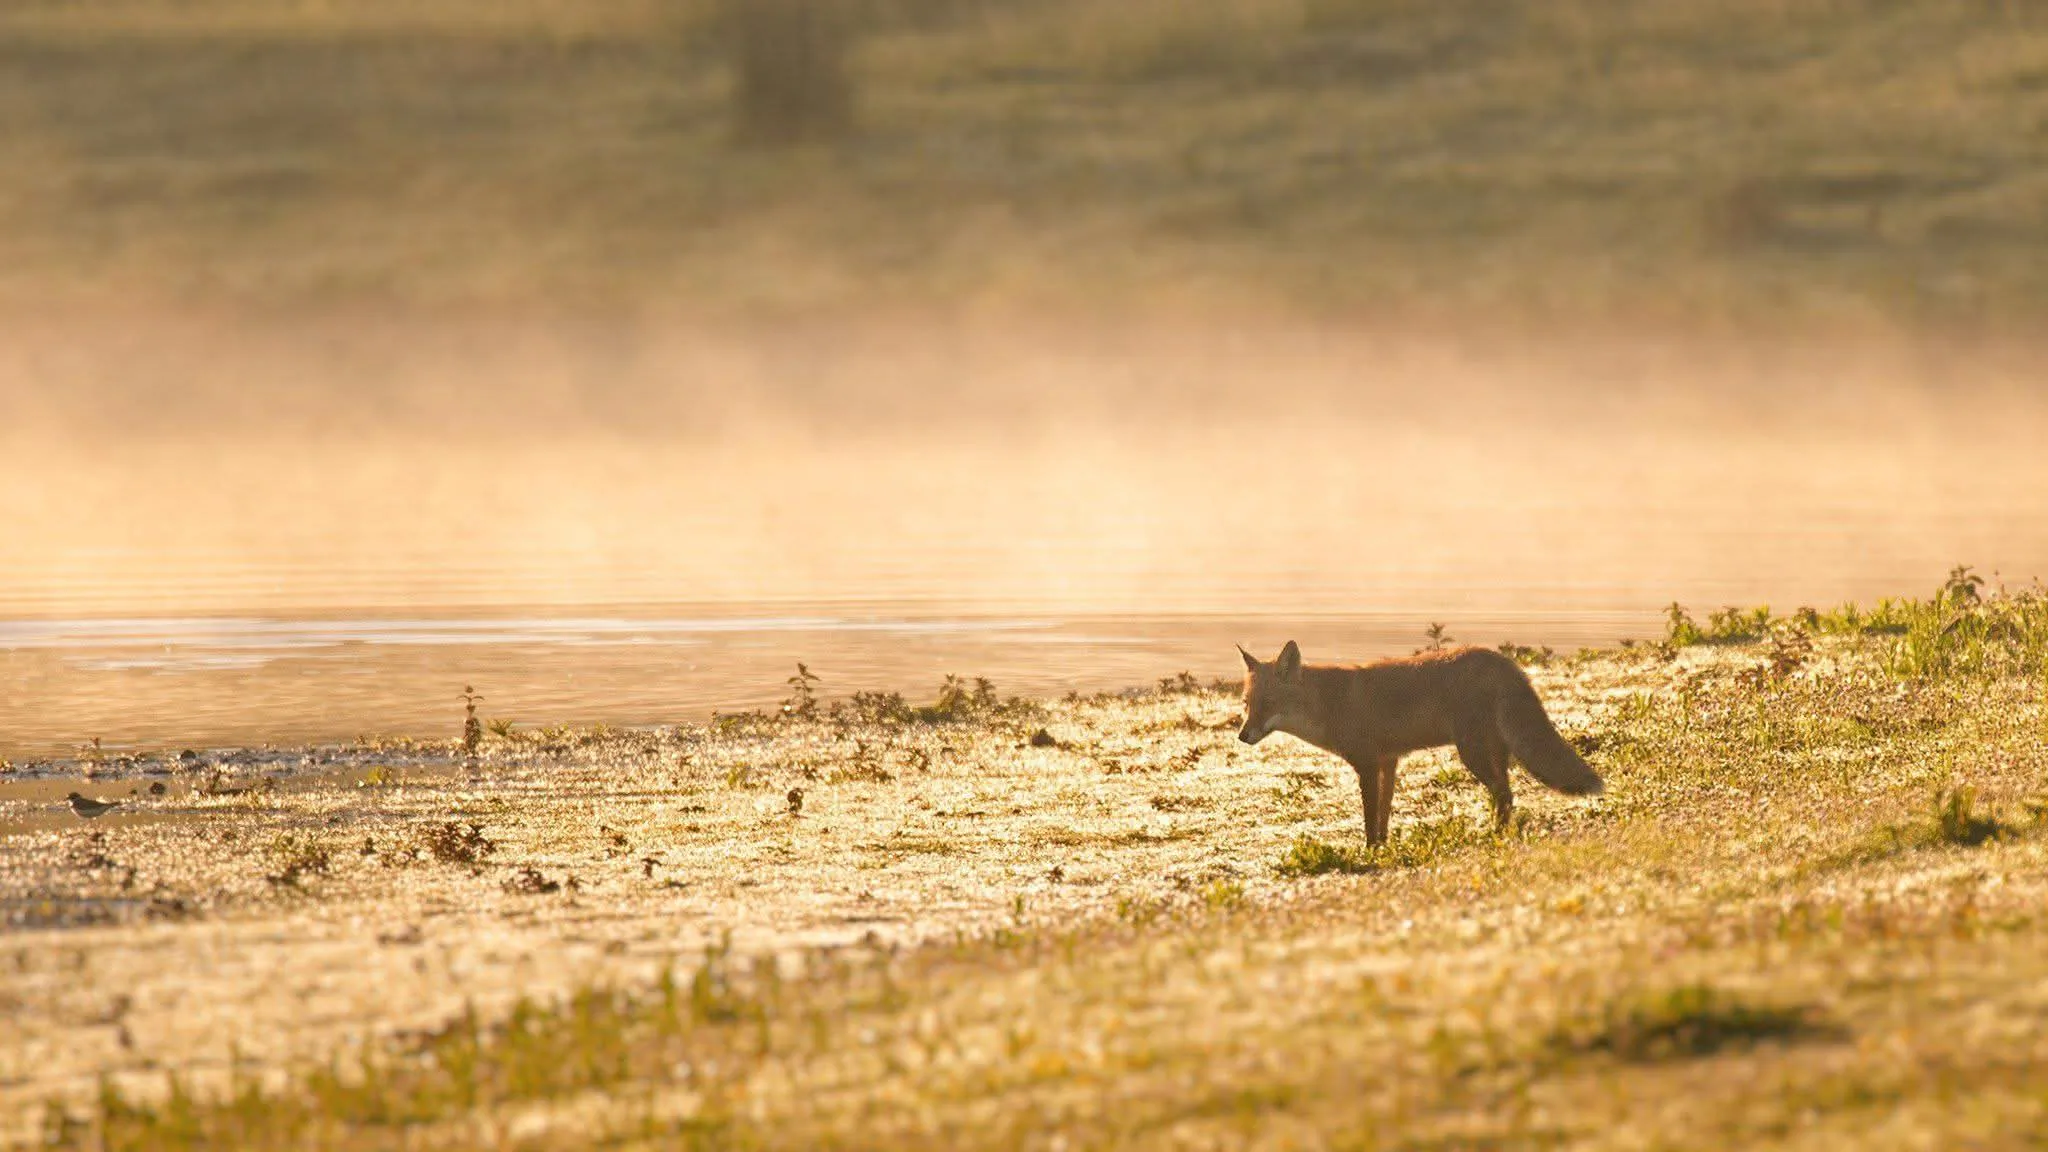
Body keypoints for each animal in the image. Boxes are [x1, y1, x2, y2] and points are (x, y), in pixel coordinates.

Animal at [1237, 641, 1602, 845]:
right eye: (1247, 704)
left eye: (1268, 703)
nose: (1242, 736)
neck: (1329, 705)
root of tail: (1504, 660)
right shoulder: (1389, 761)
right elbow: (1384, 814)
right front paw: (1384, 847)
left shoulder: (1367, 764)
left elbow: (1370, 817)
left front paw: (1370, 851)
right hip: (1495, 750)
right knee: (1507, 795)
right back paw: (1500, 831)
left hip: (1472, 752)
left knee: (1504, 794)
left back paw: (1495, 836)